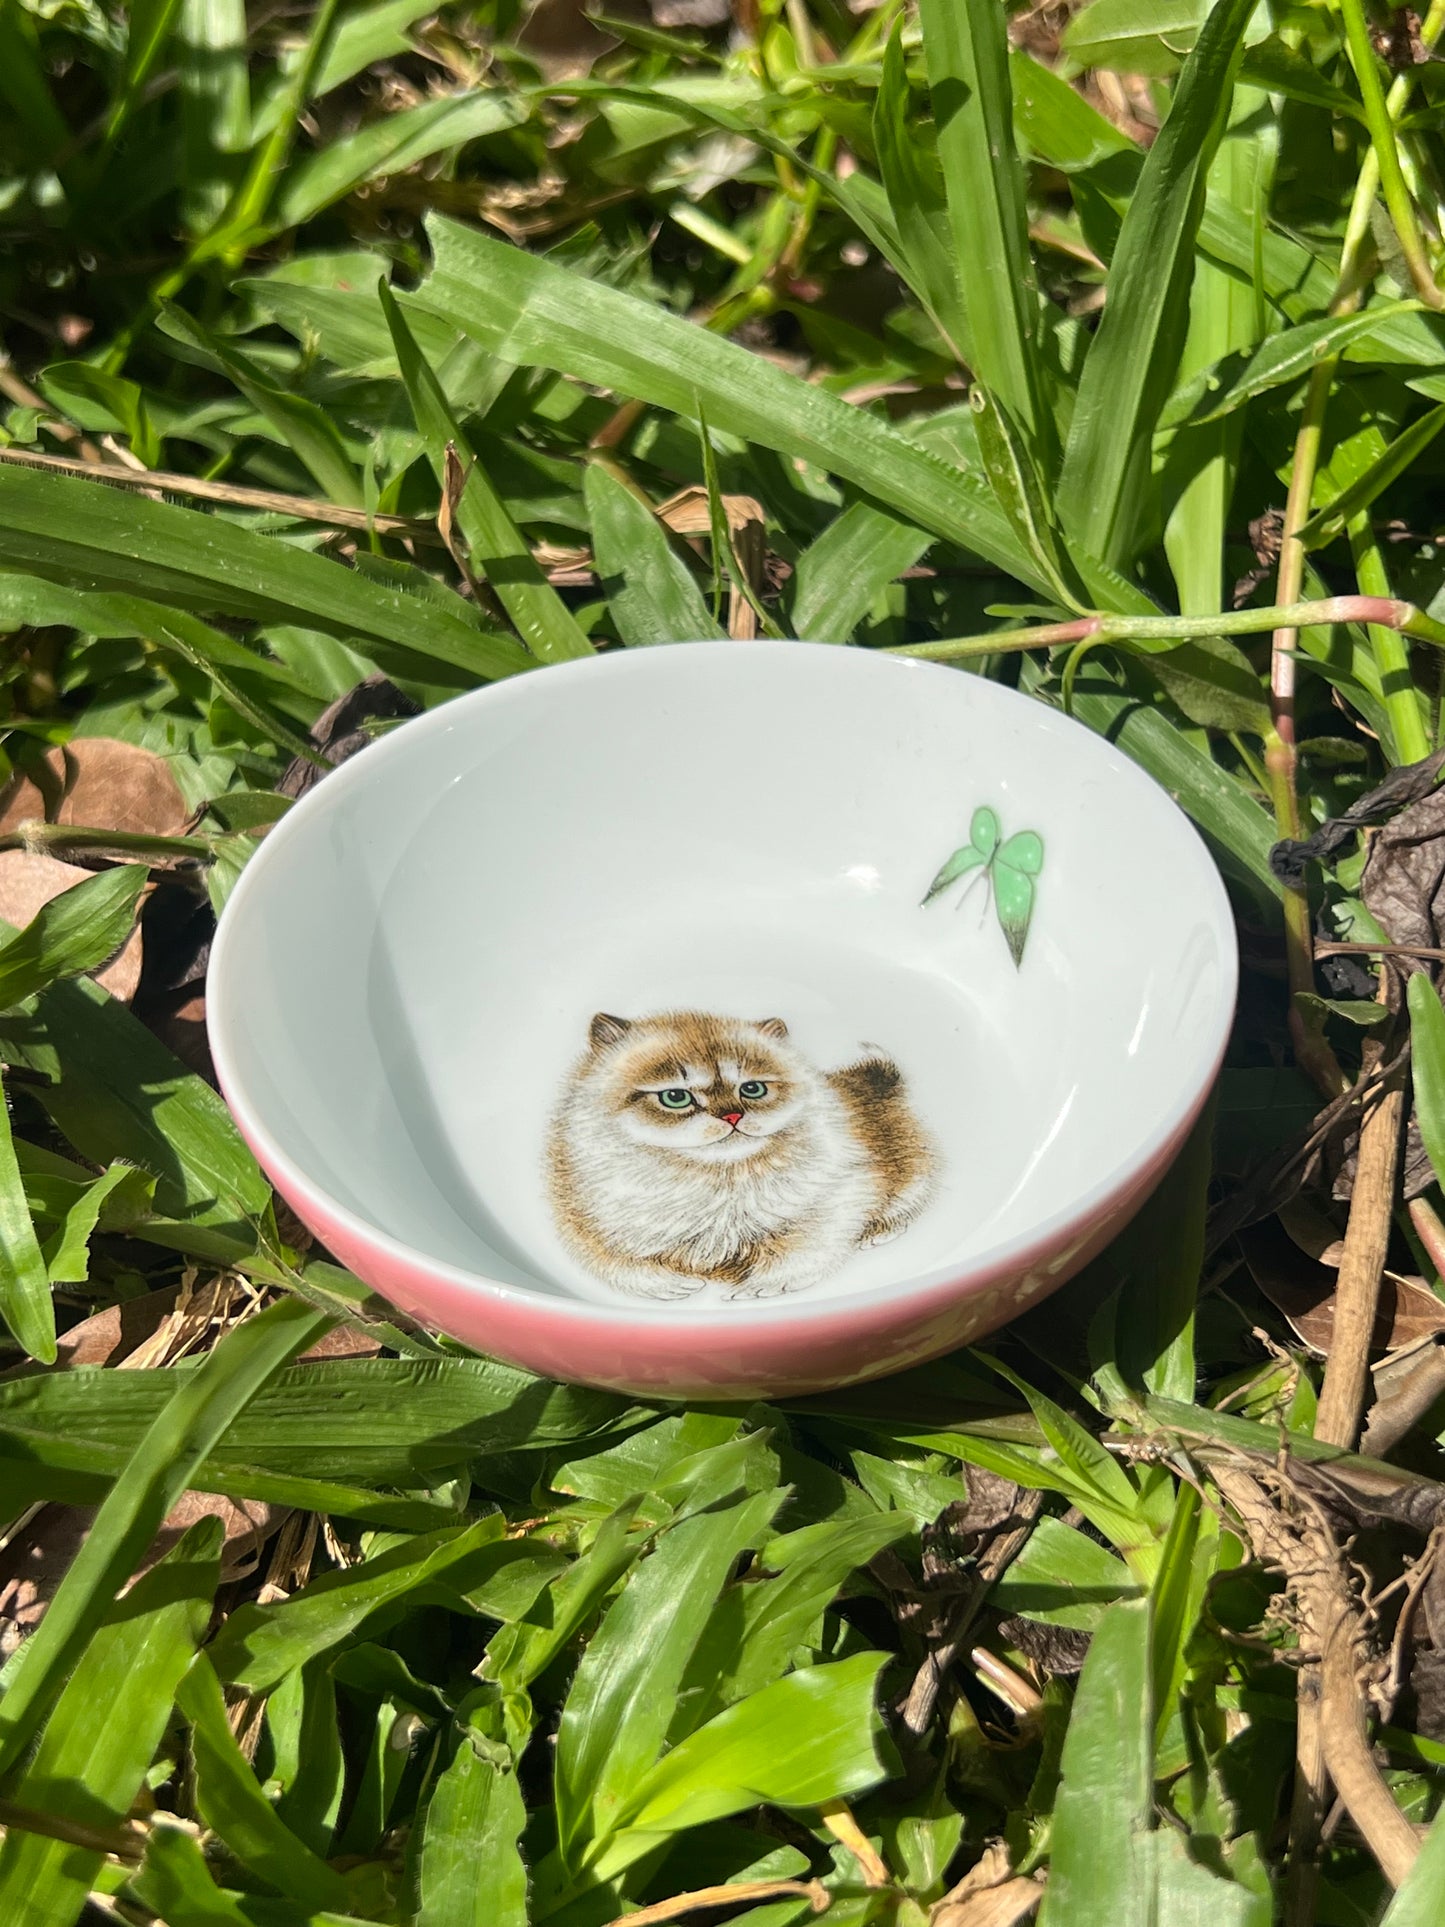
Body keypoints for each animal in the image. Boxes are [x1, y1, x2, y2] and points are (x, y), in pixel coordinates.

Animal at [547, 1009, 940, 1294]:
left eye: (752, 1089)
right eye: (675, 1097)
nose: (732, 1116)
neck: (715, 1179)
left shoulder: (842, 1194)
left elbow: (799, 1252)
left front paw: (763, 1288)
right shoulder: (580, 1215)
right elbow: (615, 1261)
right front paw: (669, 1285)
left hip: (912, 1173)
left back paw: (877, 1234)